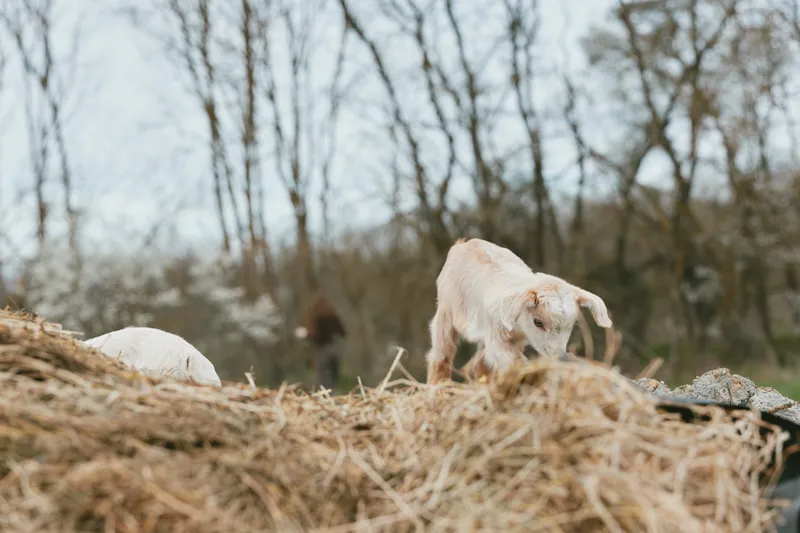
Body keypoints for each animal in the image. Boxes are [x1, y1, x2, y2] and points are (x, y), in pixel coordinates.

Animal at [426, 238, 613, 384]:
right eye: (538, 322)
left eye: (571, 326)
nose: (559, 356)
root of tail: (463, 243)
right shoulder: (496, 335)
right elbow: (514, 361)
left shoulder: (515, 340)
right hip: (445, 312)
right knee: (441, 353)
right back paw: (439, 385)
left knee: (481, 366)